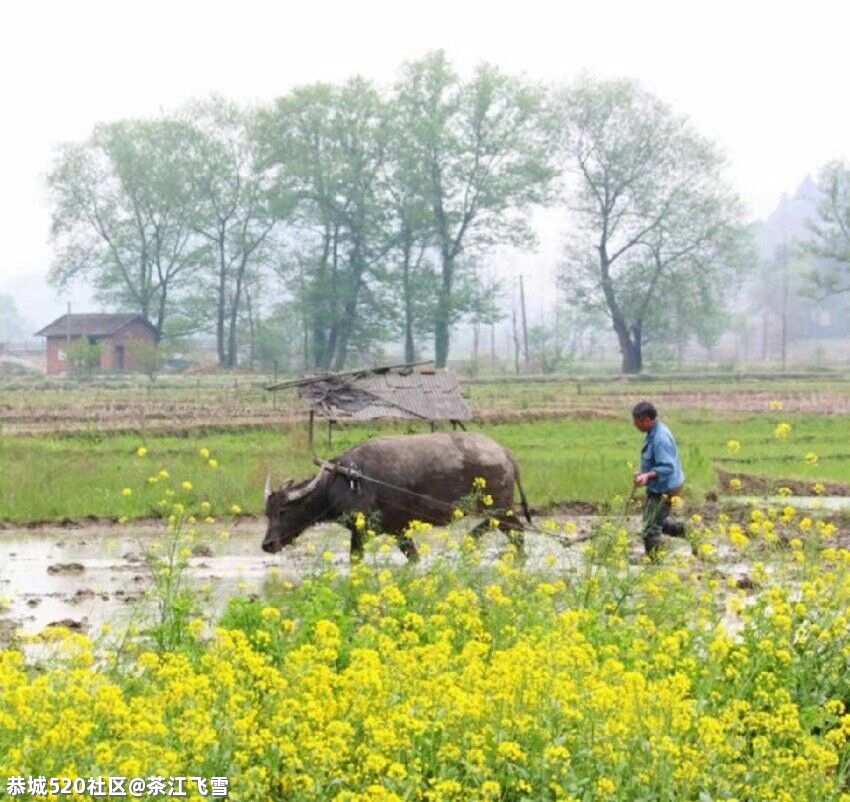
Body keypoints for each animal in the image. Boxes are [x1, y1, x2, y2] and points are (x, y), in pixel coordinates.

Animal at [264, 432, 528, 556]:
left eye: (283, 511)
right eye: (267, 513)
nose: (267, 544)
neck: (342, 481)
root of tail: (503, 452)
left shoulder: (364, 531)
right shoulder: (397, 531)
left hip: (500, 508)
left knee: (515, 530)